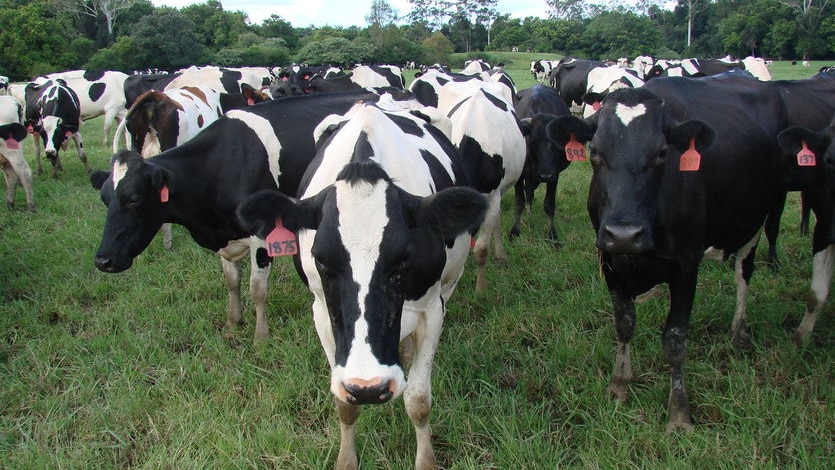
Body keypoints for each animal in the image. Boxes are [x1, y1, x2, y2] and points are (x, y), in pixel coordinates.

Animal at [88, 90, 422, 344]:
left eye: (134, 201)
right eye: (104, 200)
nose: (103, 260)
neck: (219, 165)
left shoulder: (263, 235)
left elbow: (257, 289)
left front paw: (261, 337)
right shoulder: (225, 236)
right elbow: (232, 281)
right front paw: (233, 322)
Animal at [235, 102, 486, 470]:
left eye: (403, 259)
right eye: (323, 261)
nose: (369, 387)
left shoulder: (432, 309)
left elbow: (418, 399)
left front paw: (426, 460)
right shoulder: (323, 311)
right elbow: (344, 402)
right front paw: (346, 459)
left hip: (449, 282)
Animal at [510, 84, 576, 244]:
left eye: (557, 142)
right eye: (533, 142)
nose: (545, 175)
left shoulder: (555, 175)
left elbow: (549, 205)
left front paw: (552, 235)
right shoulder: (520, 174)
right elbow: (519, 201)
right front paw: (515, 231)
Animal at [552, 74, 788, 434]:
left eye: (662, 154)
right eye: (595, 152)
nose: (625, 234)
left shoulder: (686, 263)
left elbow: (675, 339)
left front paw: (679, 411)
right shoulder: (609, 258)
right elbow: (624, 323)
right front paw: (619, 384)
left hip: (760, 218)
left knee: (744, 273)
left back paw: (738, 331)